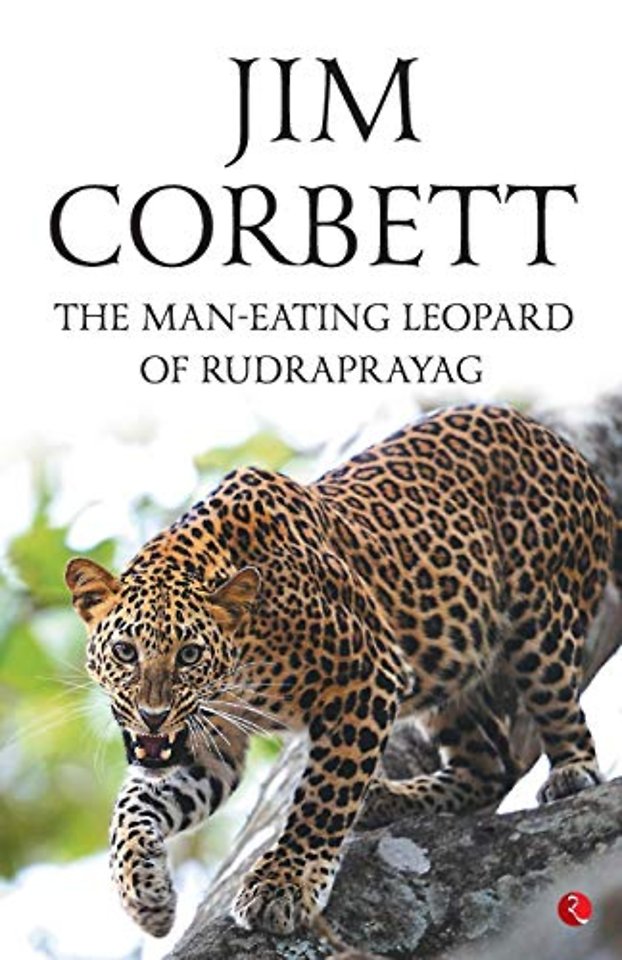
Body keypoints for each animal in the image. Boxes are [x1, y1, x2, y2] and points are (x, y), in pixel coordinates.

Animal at [65, 404, 617, 938]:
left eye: (189, 655)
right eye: (124, 651)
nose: (152, 716)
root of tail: (555, 440)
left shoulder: (367, 674)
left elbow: (324, 793)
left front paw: (284, 883)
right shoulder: (211, 739)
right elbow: (133, 806)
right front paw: (144, 892)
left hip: (540, 624)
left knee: (559, 714)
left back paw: (570, 772)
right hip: (450, 669)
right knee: (488, 768)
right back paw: (392, 798)